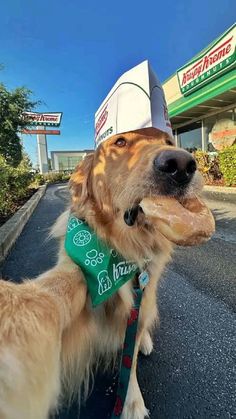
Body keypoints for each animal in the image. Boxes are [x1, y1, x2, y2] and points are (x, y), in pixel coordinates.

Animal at [0, 129, 203, 419]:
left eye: (168, 142)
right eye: (120, 142)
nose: (182, 164)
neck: (124, 248)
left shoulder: (140, 301)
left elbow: (130, 359)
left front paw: (132, 400)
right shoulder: (84, 273)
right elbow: (57, 291)